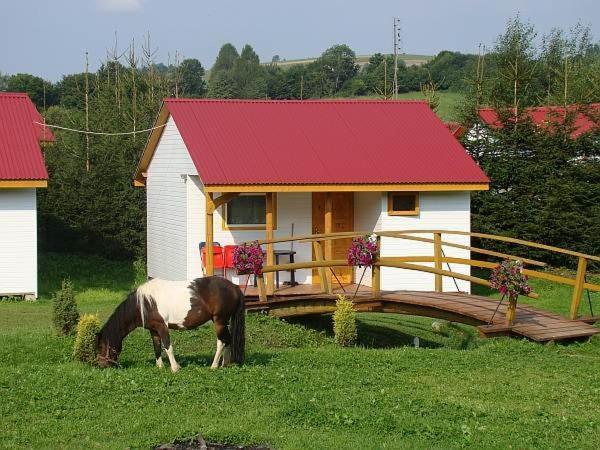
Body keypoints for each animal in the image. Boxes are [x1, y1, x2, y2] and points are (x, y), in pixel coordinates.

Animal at [95, 276, 245, 370]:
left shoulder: (162, 327)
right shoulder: (153, 329)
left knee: (221, 341)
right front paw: (160, 366)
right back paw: (224, 364)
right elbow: (156, 347)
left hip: (219, 321)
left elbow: (168, 346)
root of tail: (234, 287)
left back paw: (214, 366)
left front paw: (175, 368)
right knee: (228, 340)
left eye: (101, 346)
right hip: (223, 322)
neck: (145, 303)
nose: (100, 365)